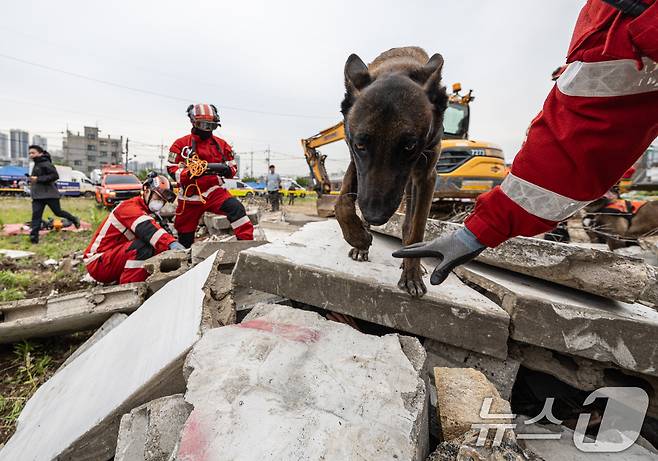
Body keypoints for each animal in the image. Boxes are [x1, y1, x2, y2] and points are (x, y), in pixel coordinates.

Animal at [336, 45, 448, 296]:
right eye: (361, 145)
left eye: (409, 146)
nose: (374, 217)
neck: (397, 67)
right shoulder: (354, 160)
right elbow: (342, 203)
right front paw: (358, 238)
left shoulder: (427, 177)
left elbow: (417, 229)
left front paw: (412, 274)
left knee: (409, 223)